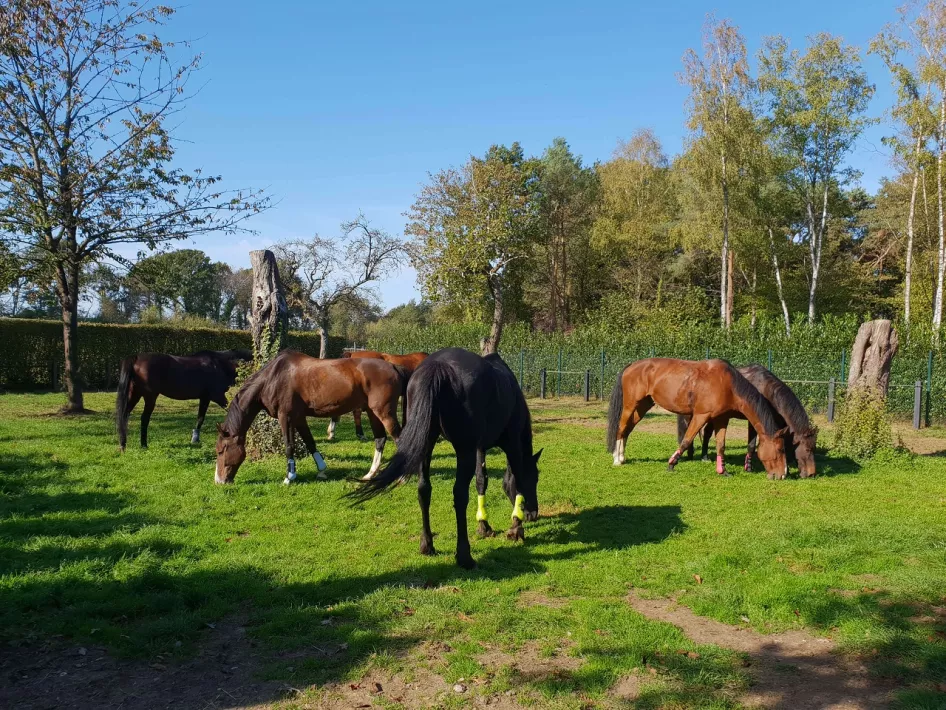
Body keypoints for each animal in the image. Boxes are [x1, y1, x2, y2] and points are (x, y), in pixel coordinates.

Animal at [116, 349, 252, 451]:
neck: (220, 365)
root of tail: (136, 357)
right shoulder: (217, 396)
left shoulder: (205, 398)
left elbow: (200, 418)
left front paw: (195, 439)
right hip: (150, 396)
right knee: (144, 418)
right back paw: (144, 445)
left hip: (135, 394)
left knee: (124, 415)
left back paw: (123, 444)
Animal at [214, 350, 405, 484]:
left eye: (221, 450)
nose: (219, 481)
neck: (273, 378)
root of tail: (394, 367)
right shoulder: (299, 418)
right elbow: (310, 442)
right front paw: (321, 470)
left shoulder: (286, 417)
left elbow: (289, 446)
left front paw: (289, 477)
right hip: (373, 412)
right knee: (380, 439)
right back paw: (370, 474)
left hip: (384, 412)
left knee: (399, 438)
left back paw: (402, 477)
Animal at [346, 347, 541, 570]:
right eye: (535, 478)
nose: (533, 514)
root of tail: (437, 366)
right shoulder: (512, 444)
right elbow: (516, 479)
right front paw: (516, 529)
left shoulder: (479, 447)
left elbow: (482, 480)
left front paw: (484, 525)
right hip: (463, 449)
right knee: (459, 494)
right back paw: (464, 556)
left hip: (427, 443)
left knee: (424, 489)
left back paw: (427, 545)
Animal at [606, 358, 789, 479]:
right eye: (781, 449)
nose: (783, 474)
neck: (727, 384)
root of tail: (631, 366)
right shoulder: (701, 416)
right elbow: (687, 439)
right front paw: (671, 464)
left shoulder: (722, 419)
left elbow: (721, 445)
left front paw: (722, 471)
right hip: (630, 405)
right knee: (621, 428)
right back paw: (616, 459)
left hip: (643, 406)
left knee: (628, 429)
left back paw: (621, 457)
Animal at [677, 364, 818, 477]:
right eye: (808, 449)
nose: (812, 474)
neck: (765, 389)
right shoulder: (754, 421)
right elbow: (751, 445)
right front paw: (748, 468)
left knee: (706, 433)